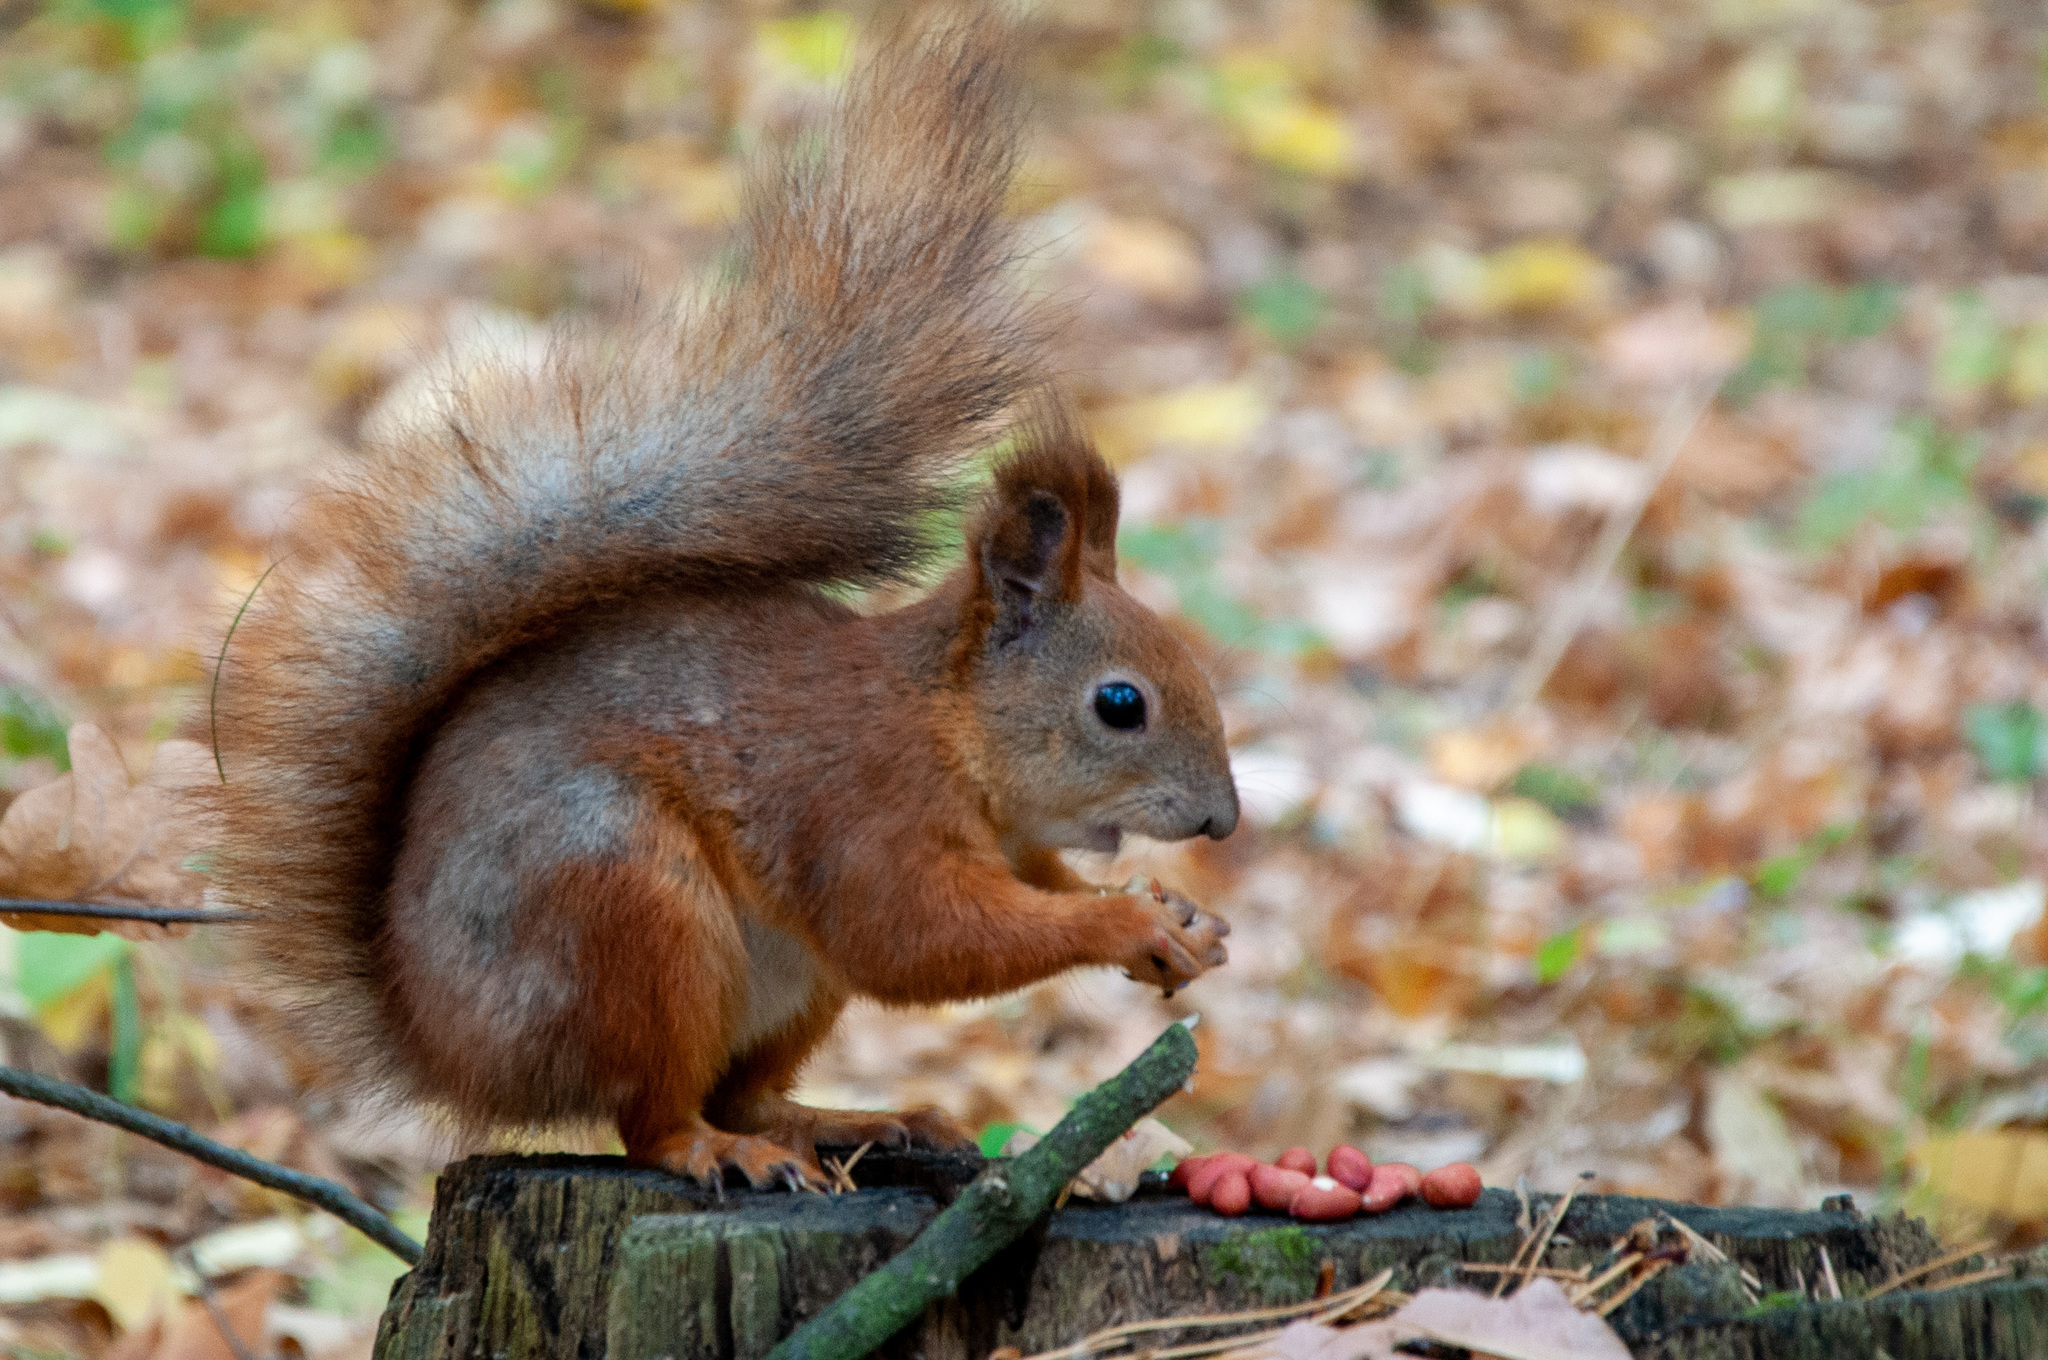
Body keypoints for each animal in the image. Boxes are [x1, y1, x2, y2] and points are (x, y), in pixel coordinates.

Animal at [203, 21, 1228, 1187]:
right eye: (1119, 704)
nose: (1221, 821)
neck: (949, 724)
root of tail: (445, 1045)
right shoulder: (862, 809)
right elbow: (922, 940)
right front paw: (1126, 926)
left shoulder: (1007, 842)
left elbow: (1034, 887)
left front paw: (1174, 913)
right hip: (633, 917)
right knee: (649, 1116)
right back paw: (718, 1151)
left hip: (789, 982)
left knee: (744, 1087)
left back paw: (853, 1120)